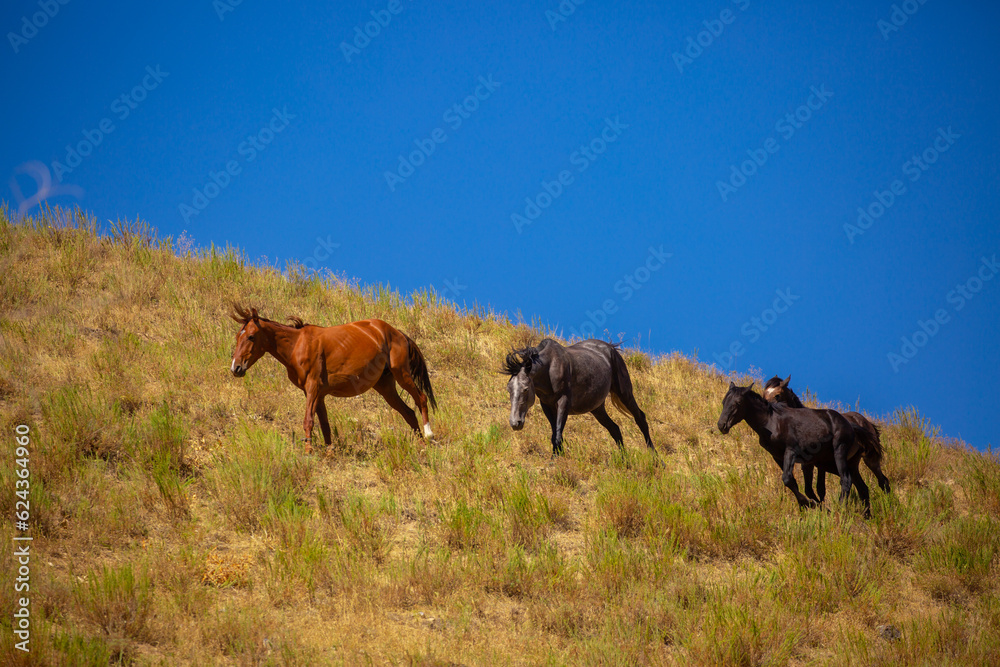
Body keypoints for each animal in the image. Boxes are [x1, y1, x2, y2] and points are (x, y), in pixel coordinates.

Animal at [229, 305, 436, 452]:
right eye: (237, 336)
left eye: (251, 336)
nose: (236, 367)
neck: (298, 345)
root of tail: (397, 333)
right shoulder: (318, 394)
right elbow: (324, 425)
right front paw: (329, 453)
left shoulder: (313, 388)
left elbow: (308, 421)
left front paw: (308, 452)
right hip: (385, 387)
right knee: (408, 413)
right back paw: (421, 446)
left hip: (402, 374)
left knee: (421, 399)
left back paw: (429, 435)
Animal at [501, 338, 656, 457]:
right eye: (509, 389)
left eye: (526, 389)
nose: (515, 423)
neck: (550, 368)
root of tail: (611, 348)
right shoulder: (547, 405)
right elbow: (555, 435)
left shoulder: (564, 402)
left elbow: (557, 436)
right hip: (597, 408)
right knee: (615, 429)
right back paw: (624, 460)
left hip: (624, 393)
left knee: (640, 418)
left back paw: (655, 458)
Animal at [716, 382, 874, 516]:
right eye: (724, 402)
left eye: (737, 403)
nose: (722, 425)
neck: (771, 422)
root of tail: (851, 426)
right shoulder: (777, 456)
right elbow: (793, 482)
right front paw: (808, 505)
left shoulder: (791, 451)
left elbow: (787, 479)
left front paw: (809, 504)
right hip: (833, 463)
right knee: (861, 487)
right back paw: (866, 516)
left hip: (839, 452)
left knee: (846, 480)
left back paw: (840, 510)